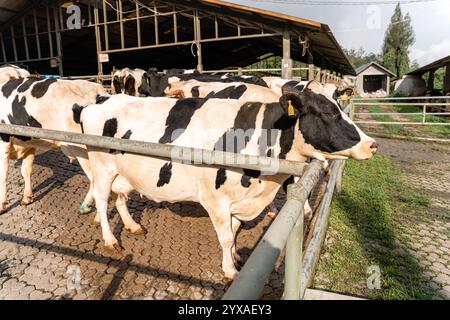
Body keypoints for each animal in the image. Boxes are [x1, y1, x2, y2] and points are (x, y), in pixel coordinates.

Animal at [0, 63, 111, 216]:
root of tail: (98, 91)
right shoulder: (29, 142)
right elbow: (26, 170)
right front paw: (27, 197)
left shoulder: (3, 141)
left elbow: (3, 174)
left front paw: (2, 205)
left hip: (83, 149)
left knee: (96, 179)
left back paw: (88, 207)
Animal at [80, 80, 376, 280]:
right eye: (328, 113)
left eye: (339, 106)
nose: (371, 144)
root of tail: (101, 100)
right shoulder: (216, 200)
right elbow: (224, 237)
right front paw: (230, 269)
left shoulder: (238, 200)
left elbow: (234, 232)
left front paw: (235, 255)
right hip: (102, 168)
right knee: (103, 202)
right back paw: (110, 241)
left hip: (122, 173)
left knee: (120, 199)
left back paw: (132, 226)